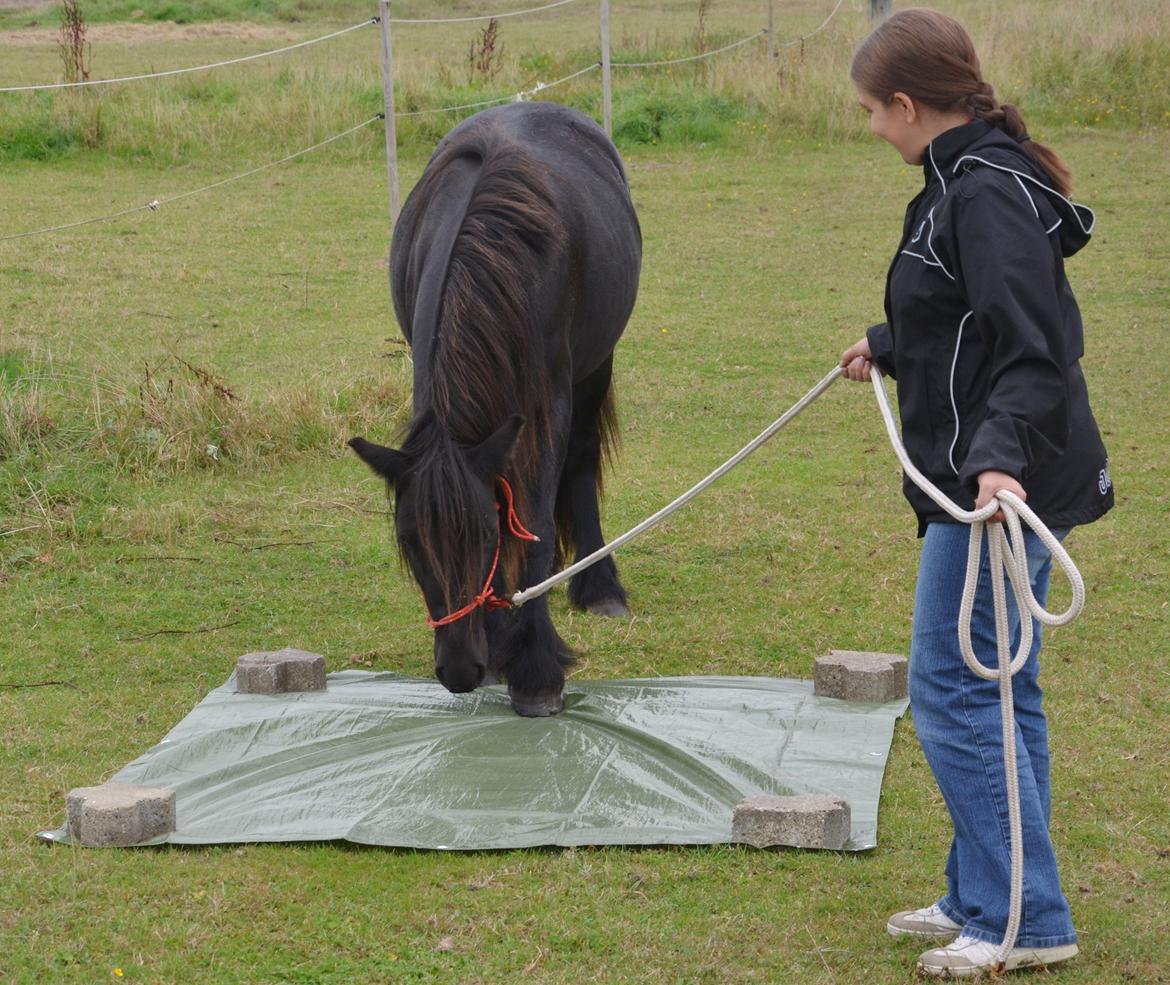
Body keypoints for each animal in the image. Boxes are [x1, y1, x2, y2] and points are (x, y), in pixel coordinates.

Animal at [348, 101, 641, 715]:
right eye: (409, 541)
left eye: (483, 536)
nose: (460, 670)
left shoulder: (549, 403)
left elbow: (532, 518)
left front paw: (535, 669)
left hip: (595, 366)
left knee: (578, 464)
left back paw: (597, 586)